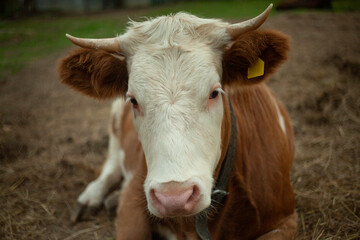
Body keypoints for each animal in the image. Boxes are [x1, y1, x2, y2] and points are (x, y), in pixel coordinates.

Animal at [57, 4, 296, 240]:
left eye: (214, 92)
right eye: (133, 100)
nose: (174, 197)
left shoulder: (285, 218)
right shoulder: (132, 202)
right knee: (111, 166)